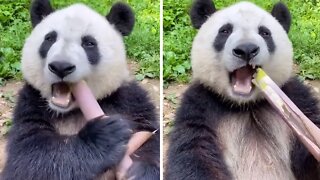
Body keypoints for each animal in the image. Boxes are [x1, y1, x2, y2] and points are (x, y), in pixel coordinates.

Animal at [1, 0, 159, 179]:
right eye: (49, 38)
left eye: (89, 43)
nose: (61, 66)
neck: (72, 111)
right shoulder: (30, 105)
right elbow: (28, 160)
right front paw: (104, 135)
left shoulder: (129, 101)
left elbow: (149, 135)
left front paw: (141, 170)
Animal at [165, 0, 320, 179]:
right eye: (225, 31)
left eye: (265, 33)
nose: (246, 49)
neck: (247, 105)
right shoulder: (200, 105)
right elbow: (193, 153)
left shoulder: (296, 97)